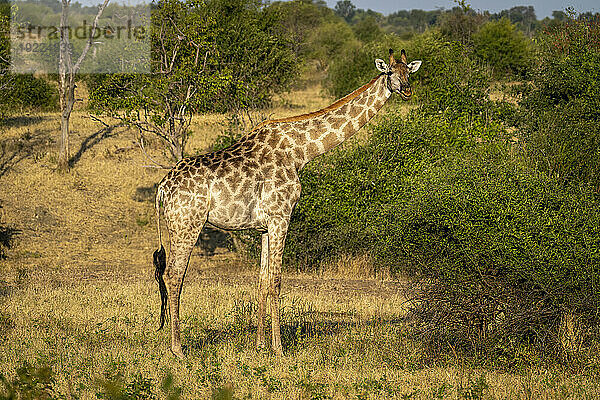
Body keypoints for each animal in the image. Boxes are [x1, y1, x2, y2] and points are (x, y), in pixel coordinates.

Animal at [152, 48, 420, 358]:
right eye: (389, 72)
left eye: (409, 72)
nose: (407, 90)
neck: (301, 152)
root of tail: (162, 188)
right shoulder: (282, 216)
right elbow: (277, 282)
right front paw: (279, 348)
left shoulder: (265, 226)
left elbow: (262, 281)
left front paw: (259, 345)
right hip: (187, 224)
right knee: (174, 275)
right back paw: (177, 348)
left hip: (180, 225)